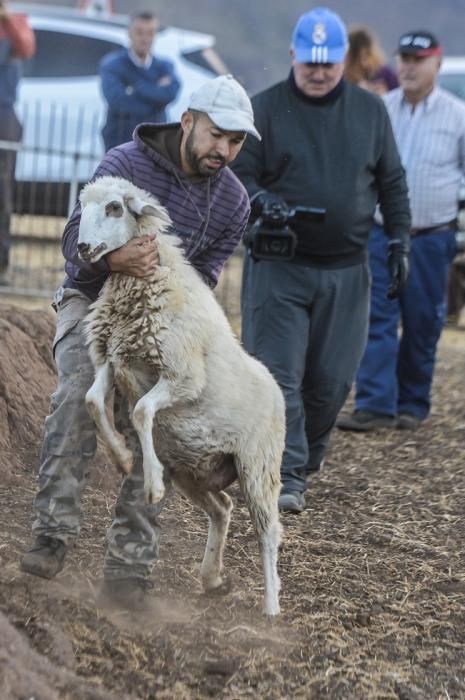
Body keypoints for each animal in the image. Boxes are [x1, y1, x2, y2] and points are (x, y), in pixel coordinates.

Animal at [78, 175, 284, 612]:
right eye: (82, 207)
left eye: (115, 208)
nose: (83, 248)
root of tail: (276, 387)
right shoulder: (109, 358)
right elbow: (92, 401)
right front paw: (123, 458)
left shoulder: (183, 376)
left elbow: (141, 411)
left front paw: (152, 483)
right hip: (196, 469)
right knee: (222, 509)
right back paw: (211, 577)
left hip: (258, 465)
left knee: (269, 532)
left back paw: (272, 606)